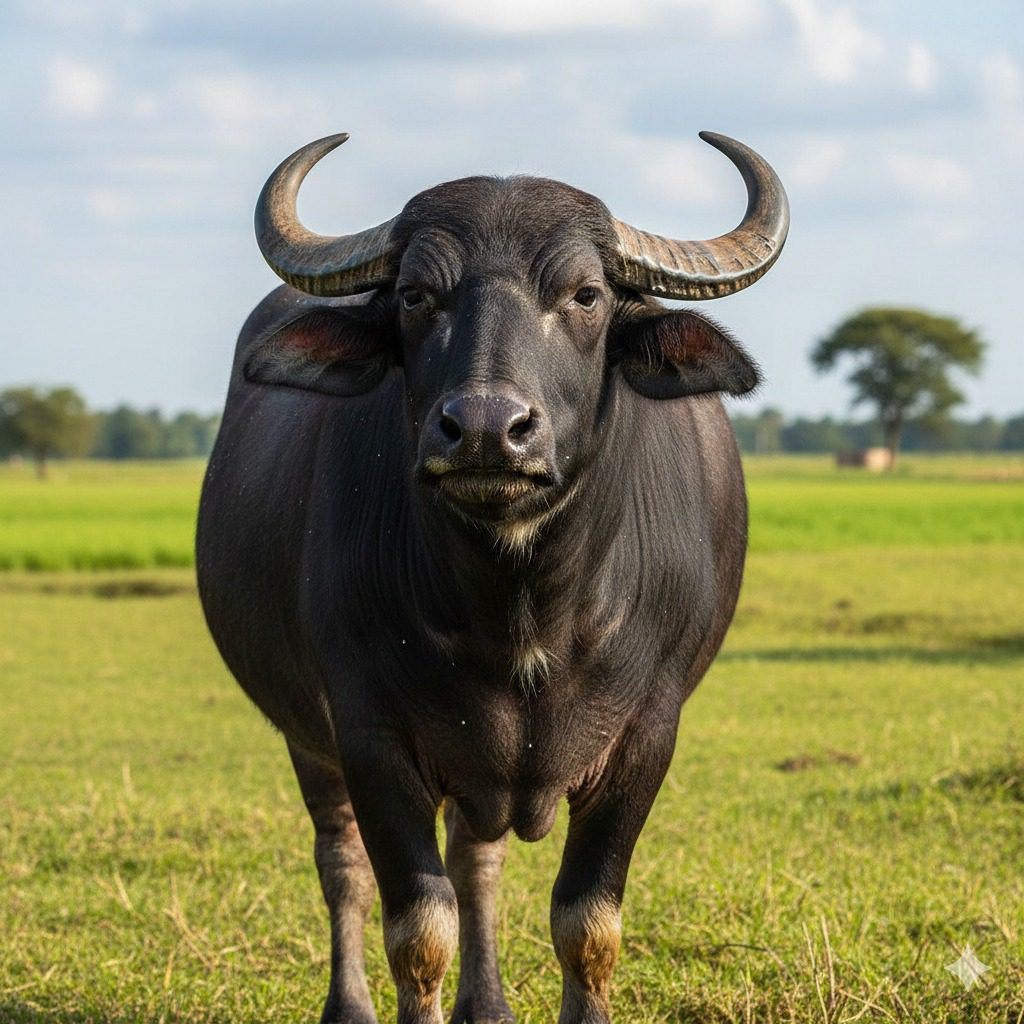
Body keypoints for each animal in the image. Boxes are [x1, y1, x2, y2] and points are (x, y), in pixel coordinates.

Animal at [197, 131, 789, 1024]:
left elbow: (587, 924)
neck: (522, 605)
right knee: (342, 865)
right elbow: (418, 931)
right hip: (309, 738)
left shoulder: (648, 734)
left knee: (477, 863)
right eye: (415, 295)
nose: (484, 429)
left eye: (585, 294)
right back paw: (350, 1004)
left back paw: (489, 1003)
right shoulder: (367, 735)